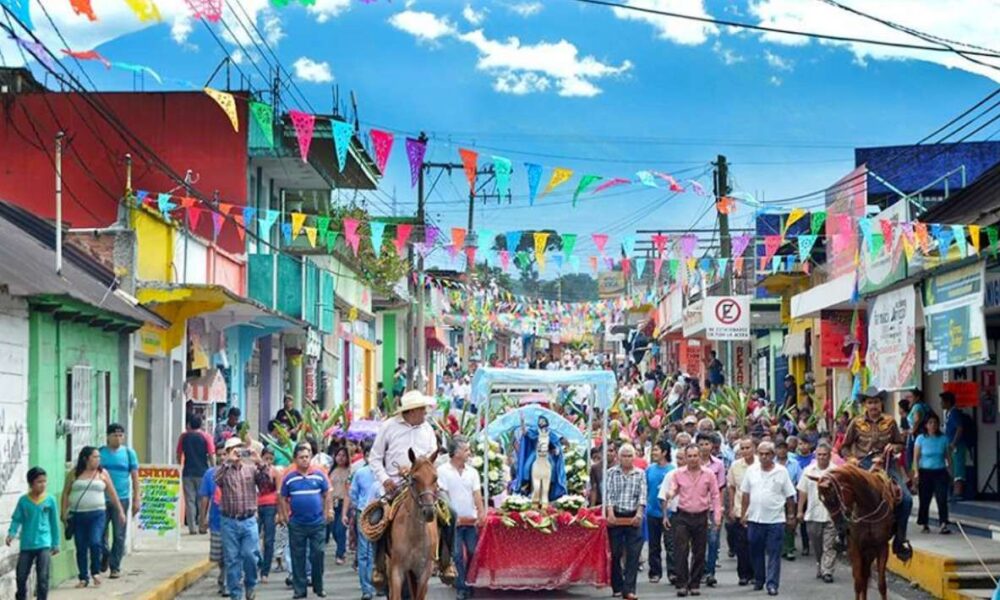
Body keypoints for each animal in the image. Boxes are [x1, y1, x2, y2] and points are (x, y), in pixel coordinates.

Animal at [388, 450, 440, 600]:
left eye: (435, 478)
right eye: (415, 479)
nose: (429, 511)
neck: (414, 535)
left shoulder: (424, 570)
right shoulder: (397, 569)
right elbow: (395, 595)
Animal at [816, 464, 896, 600]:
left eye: (832, 499)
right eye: (822, 501)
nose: (841, 527)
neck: (870, 507)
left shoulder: (882, 547)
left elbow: (881, 585)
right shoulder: (856, 548)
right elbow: (858, 583)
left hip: (870, 553)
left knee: (866, 576)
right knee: (862, 579)